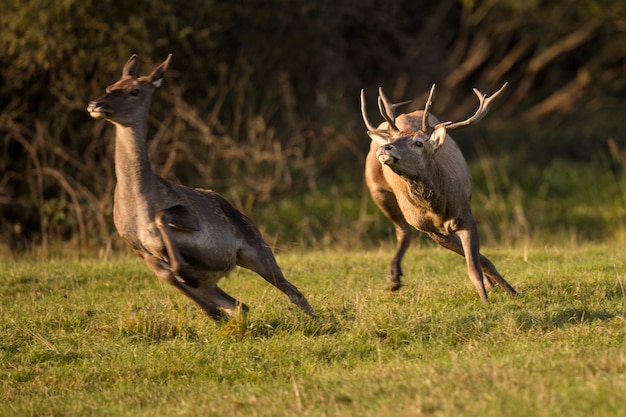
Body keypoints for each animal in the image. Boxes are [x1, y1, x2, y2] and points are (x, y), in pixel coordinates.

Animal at [86, 53, 312, 316]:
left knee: (292, 290)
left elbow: (162, 216)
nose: (95, 104)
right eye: (110, 86)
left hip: (257, 250)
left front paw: (186, 273)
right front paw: (209, 308)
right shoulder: (136, 248)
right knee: (240, 305)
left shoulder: (190, 218)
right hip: (214, 280)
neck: (138, 205)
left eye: (134, 90)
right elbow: (167, 276)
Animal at [360, 82, 516, 302]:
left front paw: (505, 293)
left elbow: (476, 264)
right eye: (394, 139)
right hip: (376, 188)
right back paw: (393, 278)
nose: (385, 148)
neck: (439, 208)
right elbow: (477, 262)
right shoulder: (430, 230)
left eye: (419, 142)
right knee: (403, 229)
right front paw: (492, 296)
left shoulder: (466, 215)